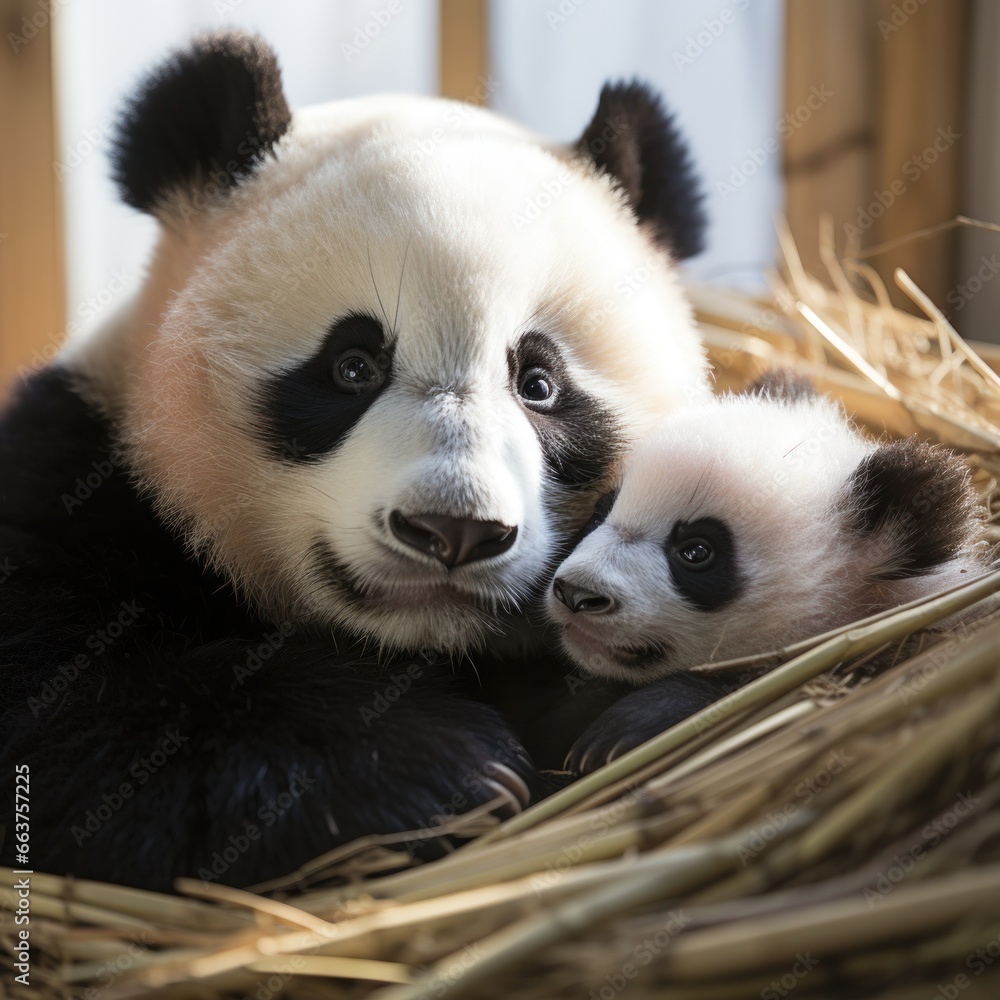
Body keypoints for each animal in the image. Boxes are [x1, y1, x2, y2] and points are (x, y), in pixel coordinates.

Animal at [0, 33, 704, 892]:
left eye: (539, 384)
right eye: (353, 367)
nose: (454, 531)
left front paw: (635, 723)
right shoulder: (69, 480)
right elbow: (67, 709)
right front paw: (434, 767)